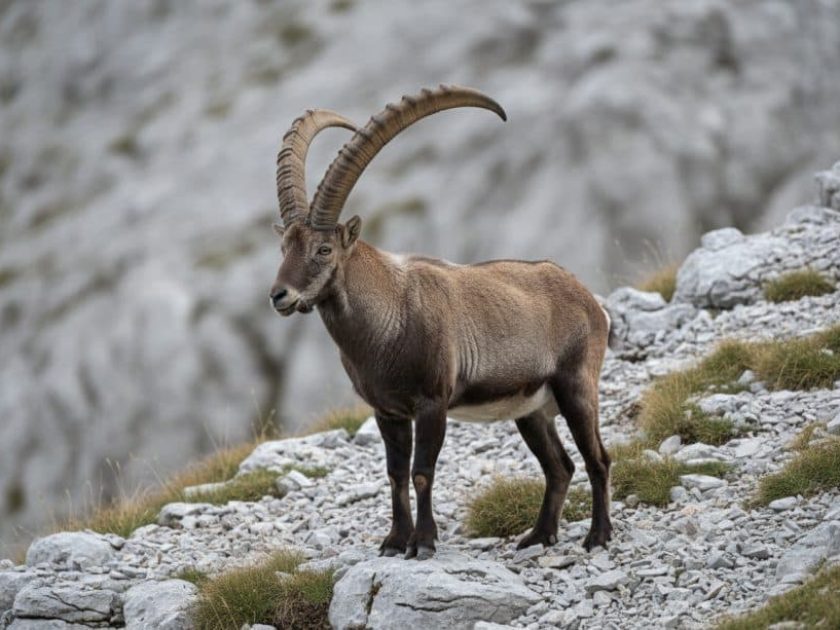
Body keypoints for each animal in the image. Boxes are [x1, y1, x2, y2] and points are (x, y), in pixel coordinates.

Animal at [269, 85, 612, 560]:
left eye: (323, 250)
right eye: (285, 246)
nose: (279, 296)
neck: (388, 319)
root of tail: (585, 296)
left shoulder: (432, 402)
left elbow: (421, 472)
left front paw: (423, 543)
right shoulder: (388, 412)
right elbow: (395, 474)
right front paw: (394, 541)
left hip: (576, 386)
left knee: (598, 458)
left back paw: (598, 536)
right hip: (531, 411)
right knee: (559, 466)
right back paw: (538, 536)